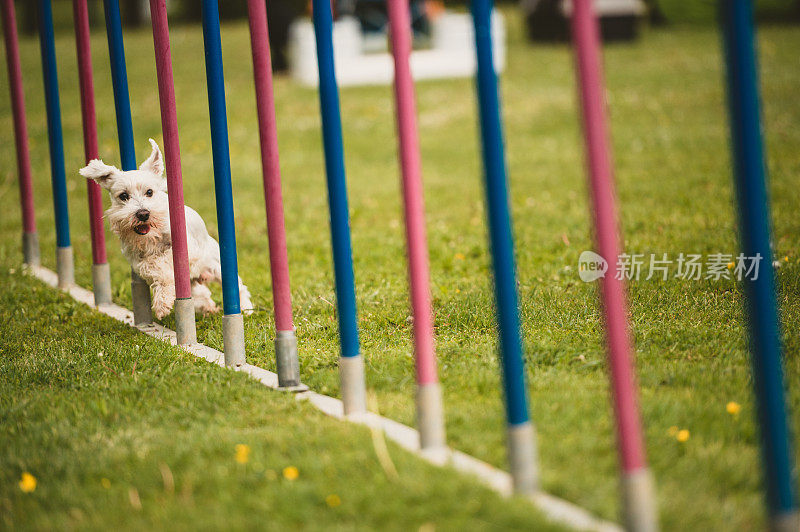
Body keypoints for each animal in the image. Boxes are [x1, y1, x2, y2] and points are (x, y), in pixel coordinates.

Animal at [79, 139, 252, 318]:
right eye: (123, 196)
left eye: (149, 192)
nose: (143, 214)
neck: (150, 237)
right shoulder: (135, 259)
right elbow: (151, 267)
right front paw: (163, 301)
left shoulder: (186, 248)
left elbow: (164, 262)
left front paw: (162, 303)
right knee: (201, 292)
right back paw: (207, 307)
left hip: (217, 267)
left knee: (239, 287)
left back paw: (246, 308)